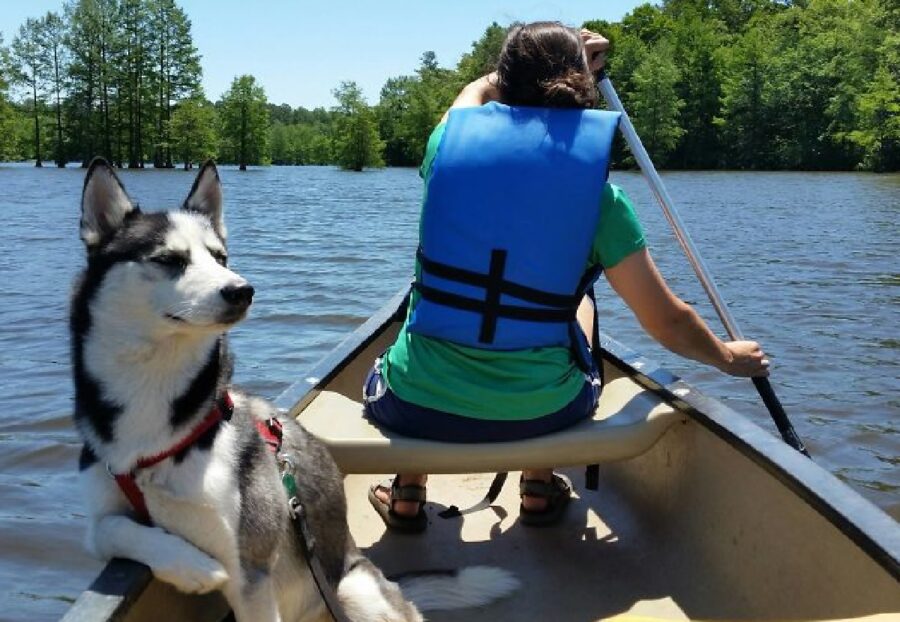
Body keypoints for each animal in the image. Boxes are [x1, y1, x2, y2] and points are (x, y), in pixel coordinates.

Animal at [73, 161, 516, 622]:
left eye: (219, 257)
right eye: (169, 260)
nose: (242, 290)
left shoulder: (251, 572)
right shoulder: (102, 516)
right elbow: (111, 528)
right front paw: (189, 565)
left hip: (353, 590)